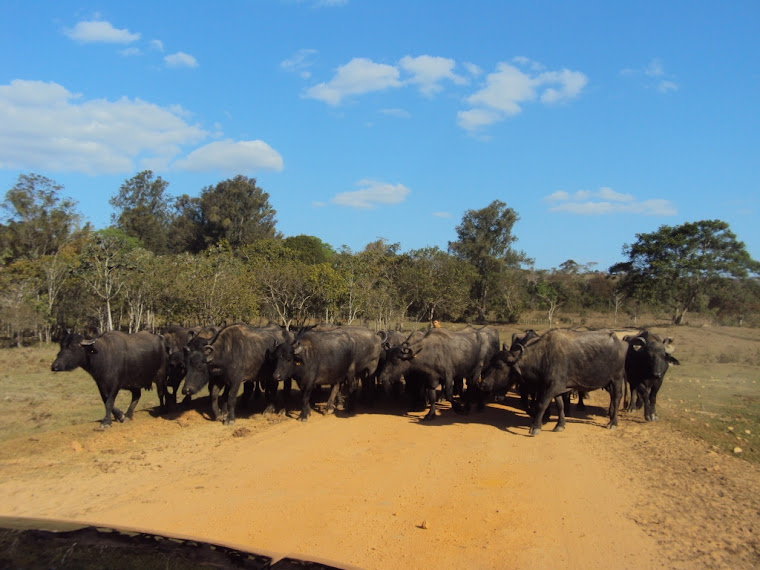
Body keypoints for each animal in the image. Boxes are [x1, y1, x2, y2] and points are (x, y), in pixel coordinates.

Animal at [478, 326, 628, 432]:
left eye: (499, 365)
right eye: (491, 362)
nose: (483, 384)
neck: (543, 357)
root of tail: (619, 343)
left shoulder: (552, 387)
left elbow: (542, 404)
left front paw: (535, 427)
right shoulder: (558, 388)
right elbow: (560, 405)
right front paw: (560, 425)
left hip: (617, 378)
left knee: (616, 397)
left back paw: (612, 422)